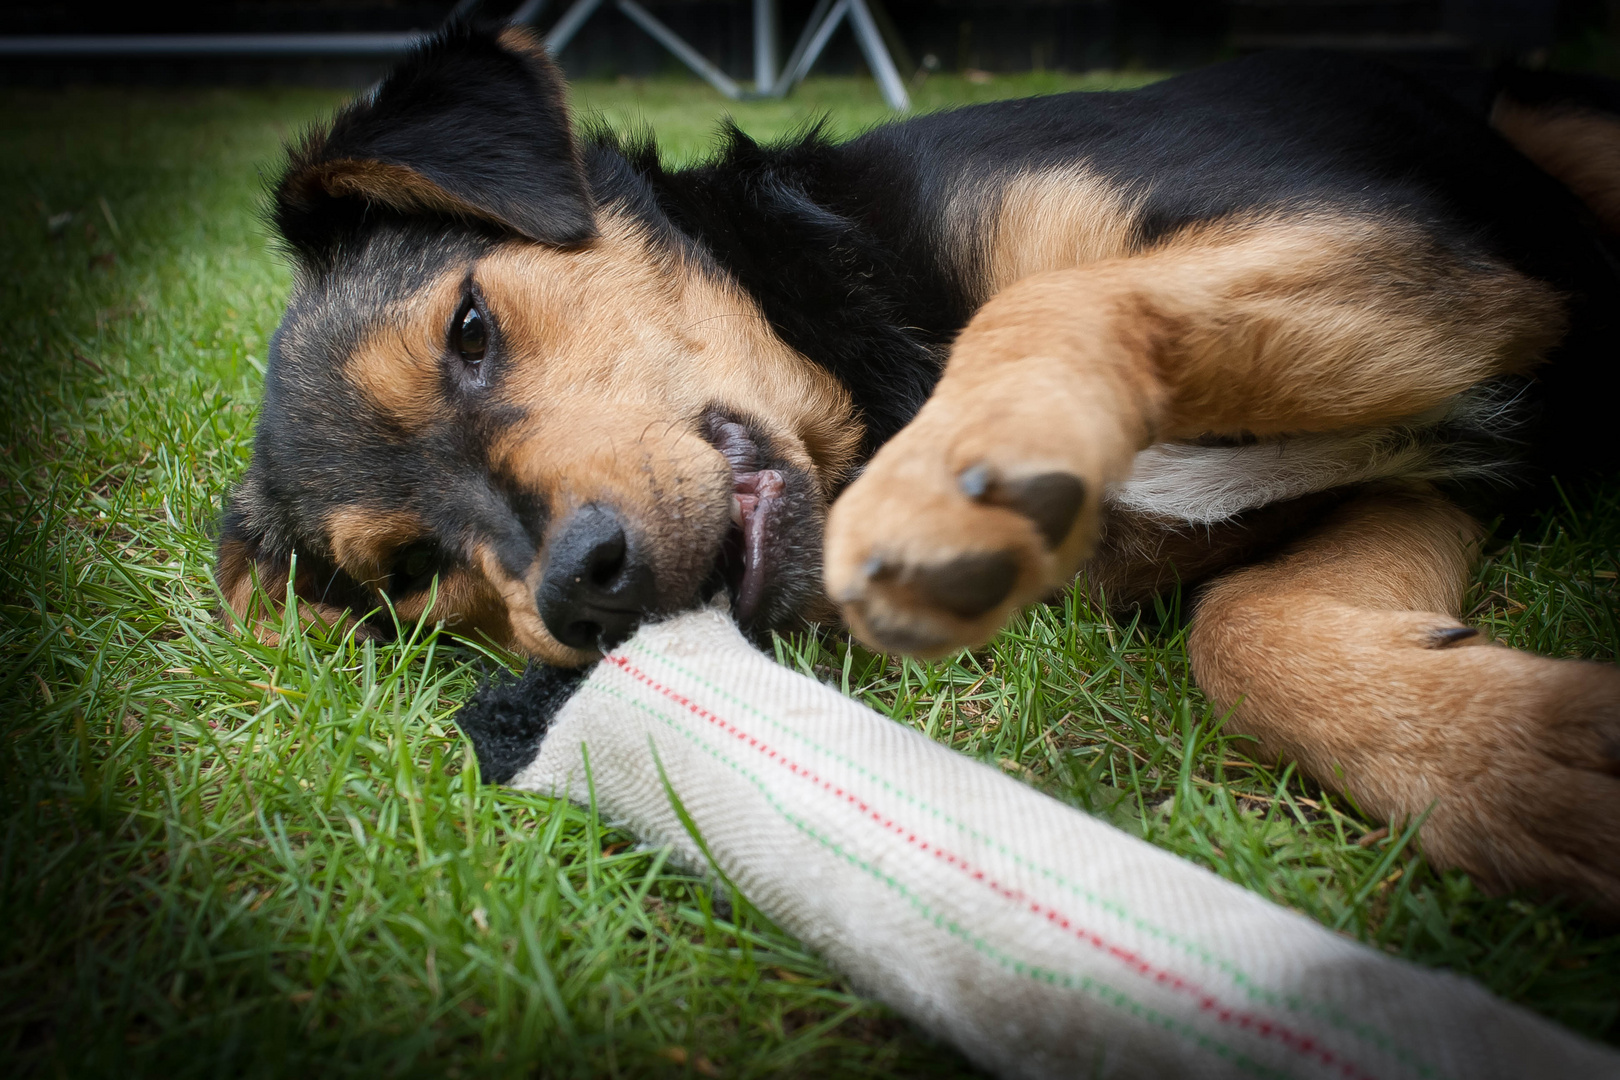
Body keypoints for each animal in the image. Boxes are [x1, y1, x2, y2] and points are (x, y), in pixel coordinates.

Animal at [215, 25, 1620, 919]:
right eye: (409, 573)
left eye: (469, 329)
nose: (580, 590)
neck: (860, 329)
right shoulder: (1439, 450)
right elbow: (1245, 625)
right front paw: (1519, 761)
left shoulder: (1429, 269)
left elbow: (1047, 299)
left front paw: (947, 472)